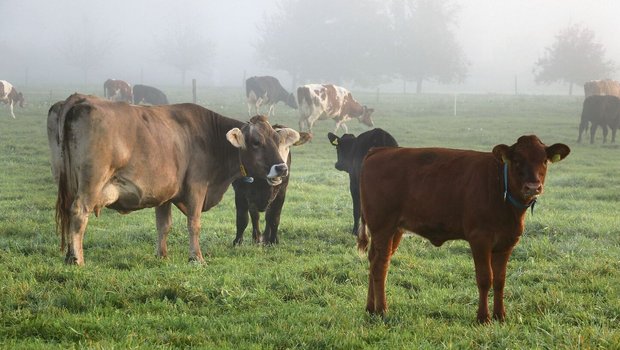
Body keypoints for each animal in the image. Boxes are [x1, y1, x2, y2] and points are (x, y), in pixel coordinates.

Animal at [50, 93, 298, 266]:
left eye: (277, 140)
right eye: (256, 142)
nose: (281, 168)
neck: (210, 136)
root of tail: (80, 98)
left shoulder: (164, 194)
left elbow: (164, 225)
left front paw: (162, 256)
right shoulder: (196, 187)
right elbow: (194, 224)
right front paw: (196, 258)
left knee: (70, 216)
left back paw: (69, 256)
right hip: (90, 184)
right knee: (79, 213)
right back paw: (77, 260)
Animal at [358, 135, 572, 324]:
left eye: (544, 160)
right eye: (517, 160)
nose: (533, 187)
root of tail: (379, 151)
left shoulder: (507, 242)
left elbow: (500, 280)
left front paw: (500, 316)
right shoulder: (480, 239)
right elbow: (485, 278)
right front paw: (483, 318)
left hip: (395, 230)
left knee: (374, 261)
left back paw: (370, 308)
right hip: (383, 227)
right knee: (380, 266)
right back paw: (382, 310)